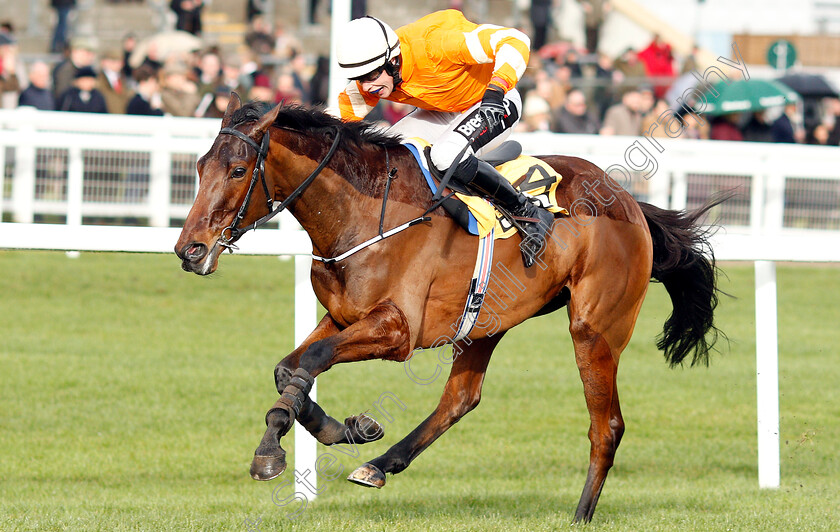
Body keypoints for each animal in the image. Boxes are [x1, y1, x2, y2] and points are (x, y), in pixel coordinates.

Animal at [172, 93, 720, 520]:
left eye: (238, 170)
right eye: (199, 167)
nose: (190, 250)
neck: (362, 212)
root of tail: (629, 202)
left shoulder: (397, 331)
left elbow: (312, 358)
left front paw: (299, 441)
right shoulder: (344, 316)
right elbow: (289, 367)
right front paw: (332, 431)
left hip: (594, 327)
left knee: (606, 426)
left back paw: (581, 514)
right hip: (487, 321)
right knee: (461, 399)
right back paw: (379, 465)